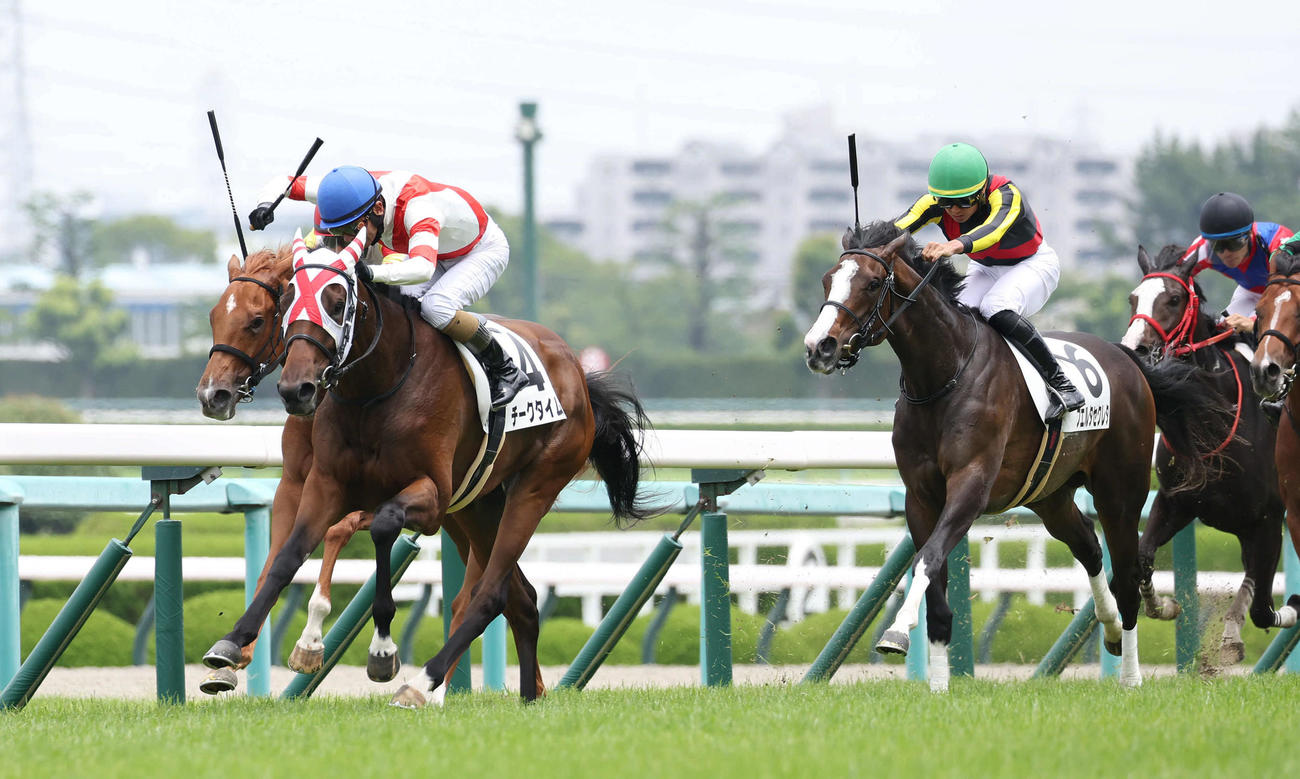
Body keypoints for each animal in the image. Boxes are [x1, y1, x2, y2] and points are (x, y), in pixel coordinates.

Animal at [201, 230, 657, 707]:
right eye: (286, 303)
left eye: (257, 320)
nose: (213, 394)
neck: (376, 388)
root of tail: (577, 372)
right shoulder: (313, 483)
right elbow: (285, 556)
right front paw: (233, 648)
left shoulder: (429, 498)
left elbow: (376, 527)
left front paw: (374, 651)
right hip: (477, 506)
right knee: (522, 598)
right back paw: (528, 694)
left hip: (533, 488)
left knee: (489, 593)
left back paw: (423, 684)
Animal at [802, 221, 1234, 690]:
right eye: (827, 280)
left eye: (872, 282)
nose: (819, 347)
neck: (943, 376)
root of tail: (1128, 360)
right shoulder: (920, 497)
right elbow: (935, 588)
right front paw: (937, 686)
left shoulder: (970, 486)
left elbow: (927, 558)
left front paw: (896, 632)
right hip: (1051, 495)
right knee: (1089, 546)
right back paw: (1112, 630)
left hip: (1121, 491)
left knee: (1127, 574)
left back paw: (1131, 677)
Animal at [1122, 244, 1293, 662]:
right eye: (1134, 298)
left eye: (1174, 298)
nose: (1136, 349)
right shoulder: (1176, 503)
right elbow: (1143, 556)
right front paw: (1164, 606)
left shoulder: (1268, 519)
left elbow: (1263, 605)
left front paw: (1237, 635)